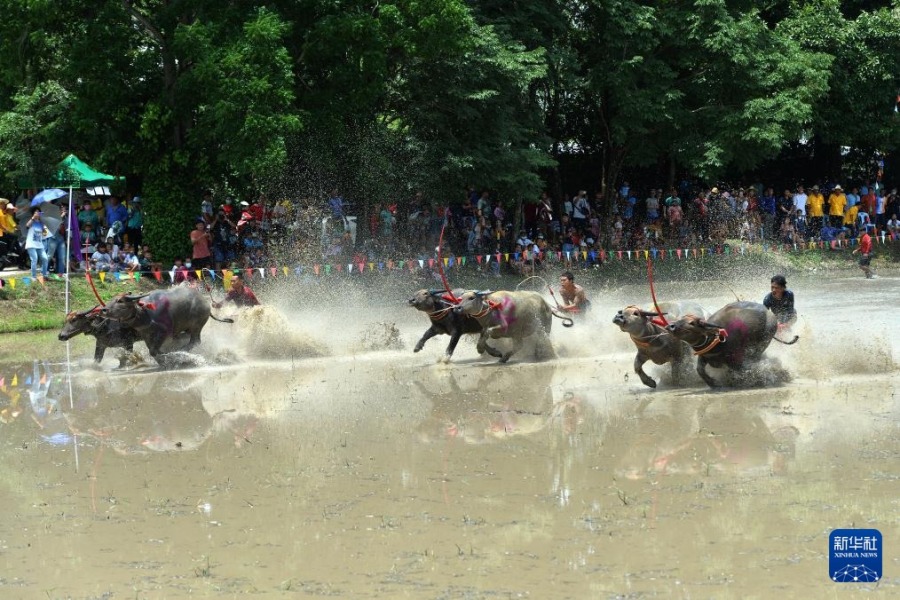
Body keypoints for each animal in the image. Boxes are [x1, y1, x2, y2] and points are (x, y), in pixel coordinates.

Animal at [101, 286, 232, 360]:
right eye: (112, 299)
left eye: (120, 301)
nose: (103, 309)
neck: (145, 313)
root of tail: (206, 302)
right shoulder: (146, 335)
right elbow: (152, 349)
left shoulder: (164, 332)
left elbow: (154, 351)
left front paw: (167, 355)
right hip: (189, 328)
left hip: (197, 325)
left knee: (195, 341)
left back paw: (182, 350)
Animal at [664, 300, 800, 390]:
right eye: (681, 319)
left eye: (692, 322)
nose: (671, 326)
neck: (716, 339)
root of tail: (769, 314)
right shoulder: (705, 356)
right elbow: (700, 370)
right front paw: (713, 384)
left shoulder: (736, 361)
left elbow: (741, 371)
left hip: (763, 341)